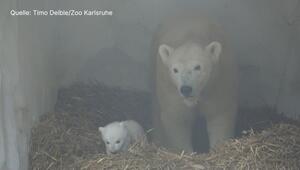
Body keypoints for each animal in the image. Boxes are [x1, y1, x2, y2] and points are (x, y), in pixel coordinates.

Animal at [151, 13, 238, 152]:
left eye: (198, 67)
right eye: (175, 69)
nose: (186, 89)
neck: (191, 36)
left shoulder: (219, 81)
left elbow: (219, 114)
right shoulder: (169, 88)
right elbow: (177, 117)